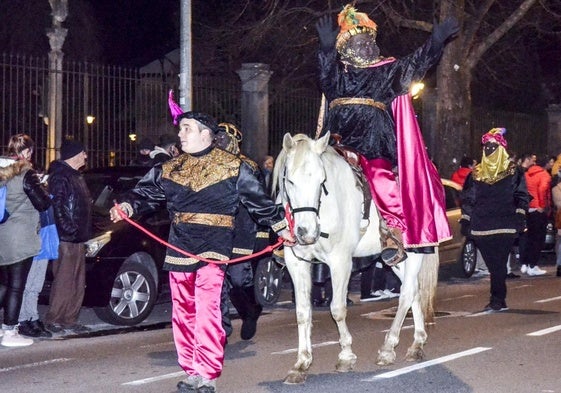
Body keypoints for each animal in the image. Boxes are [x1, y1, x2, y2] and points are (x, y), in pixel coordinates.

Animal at [274, 132, 440, 382]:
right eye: (290, 181)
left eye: (321, 180)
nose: (306, 232)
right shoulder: (297, 262)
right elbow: (302, 312)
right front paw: (301, 363)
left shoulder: (340, 261)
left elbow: (337, 308)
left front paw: (346, 356)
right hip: (396, 259)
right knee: (415, 292)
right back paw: (416, 345)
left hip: (415, 251)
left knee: (407, 293)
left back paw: (388, 349)